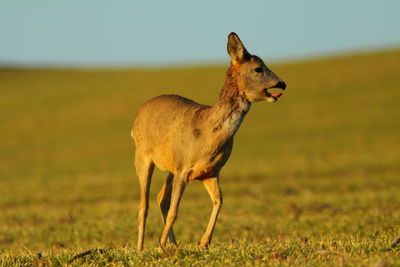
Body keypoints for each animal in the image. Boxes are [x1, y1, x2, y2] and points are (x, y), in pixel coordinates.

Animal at [130, 32, 284, 252]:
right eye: (258, 68)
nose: (282, 83)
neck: (207, 134)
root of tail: (137, 115)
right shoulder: (183, 169)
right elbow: (175, 211)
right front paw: (160, 245)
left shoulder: (210, 172)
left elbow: (219, 201)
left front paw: (203, 242)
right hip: (142, 156)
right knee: (144, 204)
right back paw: (141, 248)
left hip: (170, 167)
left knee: (161, 198)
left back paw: (173, 244)